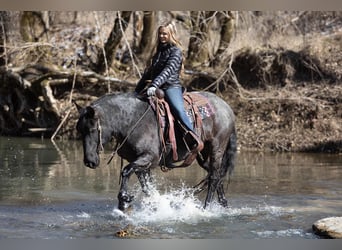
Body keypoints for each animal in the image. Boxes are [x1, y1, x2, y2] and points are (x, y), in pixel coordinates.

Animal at [75, 91, 236, 212]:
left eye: (92, 129)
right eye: (79, 130)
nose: (89, 161)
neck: (133, 121)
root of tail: (227, 107)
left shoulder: (149, 158)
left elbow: (126, 171)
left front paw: (124, 198)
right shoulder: (140, 164)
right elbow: (147, 188)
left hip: (217, 148)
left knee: (214, 177)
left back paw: (205, 208)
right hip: (202, 156)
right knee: (215, 175)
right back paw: (224, 204)